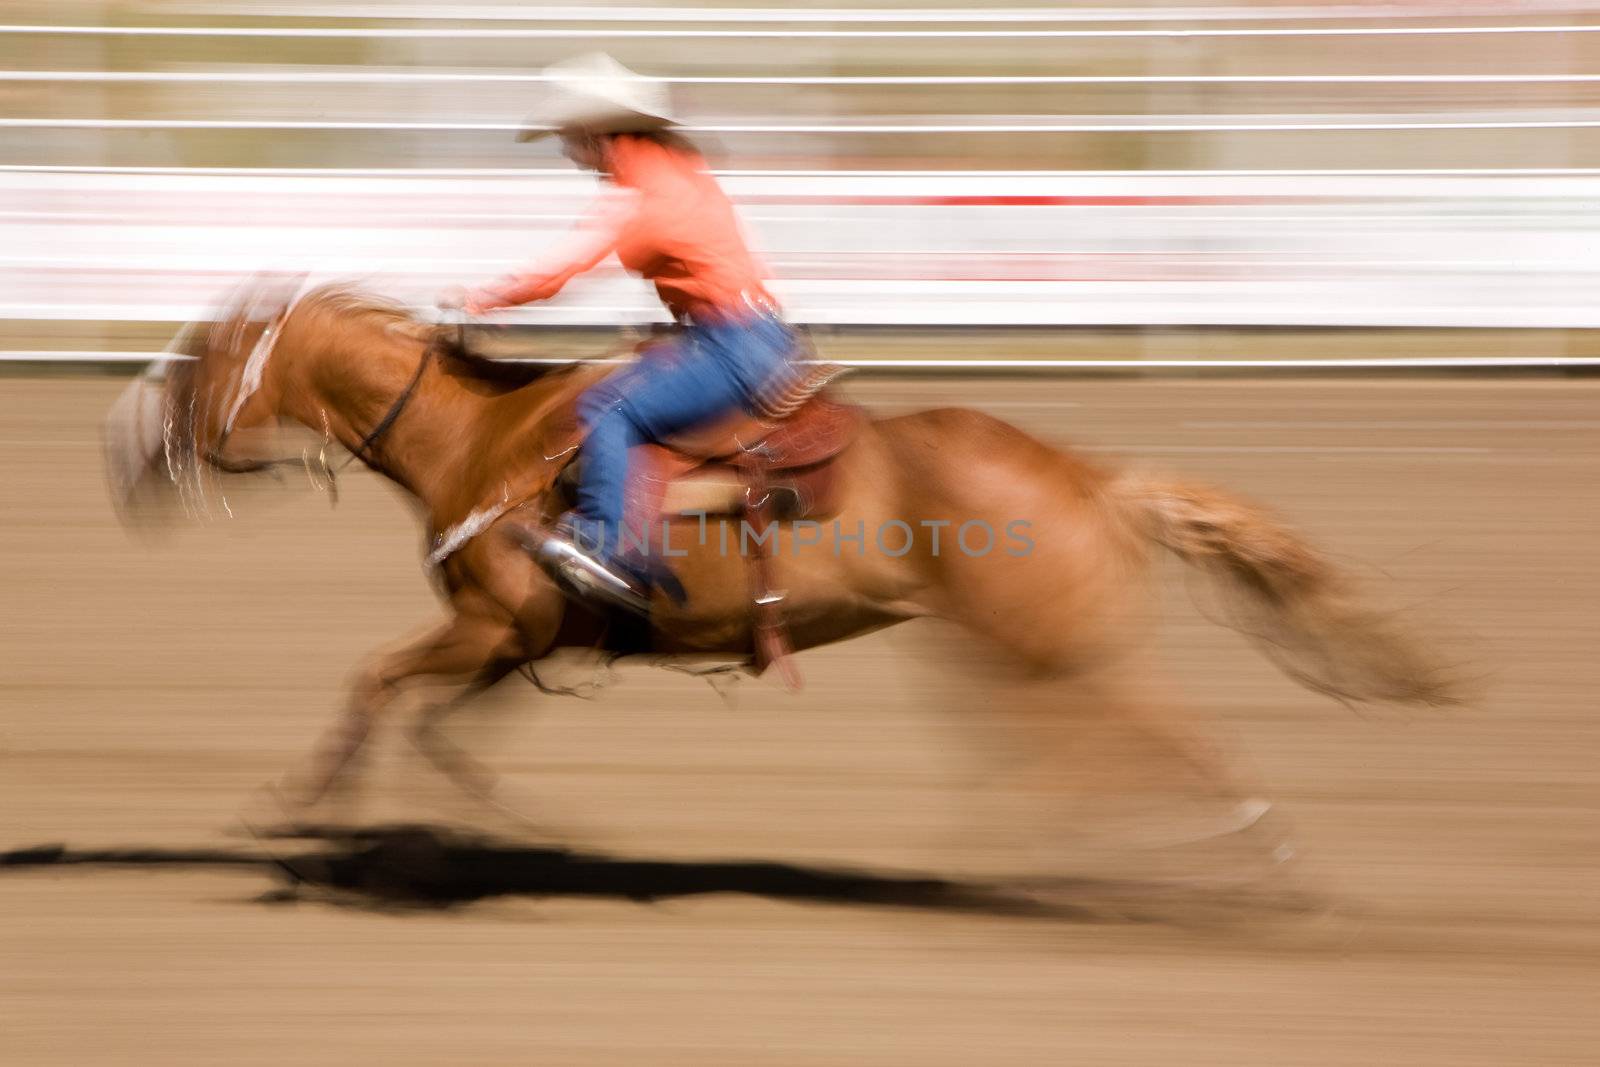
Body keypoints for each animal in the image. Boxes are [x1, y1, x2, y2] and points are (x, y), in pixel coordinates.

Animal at [96, 278, 1452, 876]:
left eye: (198, 358)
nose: (119, 454)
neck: (479, 437)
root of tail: (1089, 470)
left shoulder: (491, 620)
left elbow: (375, 680)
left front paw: (299, 807)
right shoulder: (524, 638)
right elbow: (434, 723)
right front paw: (501, 827)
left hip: (1043, 641)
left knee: (1152, 736)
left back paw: (1229, 851)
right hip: (1004, 649)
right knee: (1081, 746)